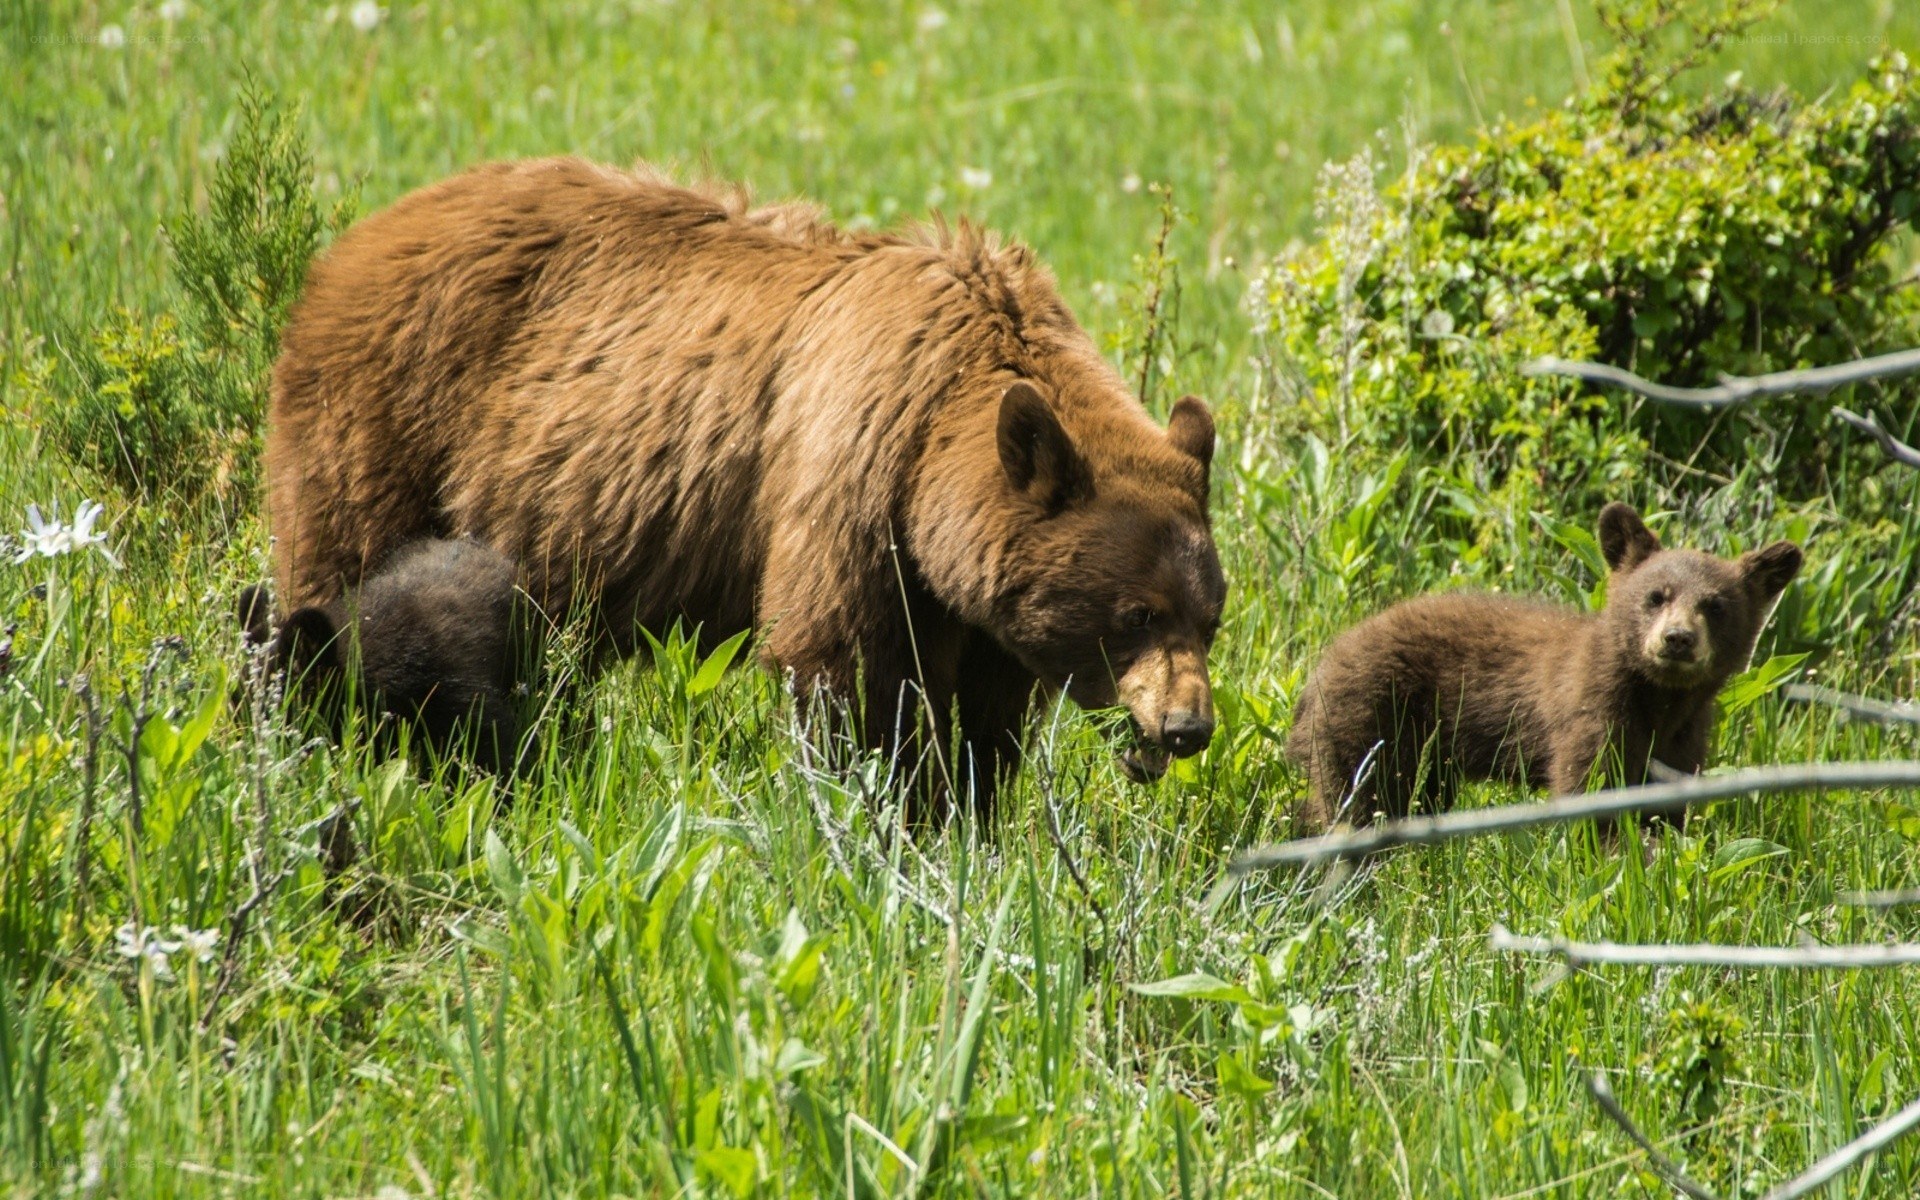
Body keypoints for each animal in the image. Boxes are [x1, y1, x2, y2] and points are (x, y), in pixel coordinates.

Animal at [1286, 502, 1802, 831]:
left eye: (1715, 606)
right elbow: (1589, 793)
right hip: (1370, 720)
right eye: (1656, 596)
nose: (1677, 639)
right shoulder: (1588, 713)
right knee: (1356, 801)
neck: (1659, 700)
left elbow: (1666, 810)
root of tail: (1321, 666)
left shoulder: (1684, 739)